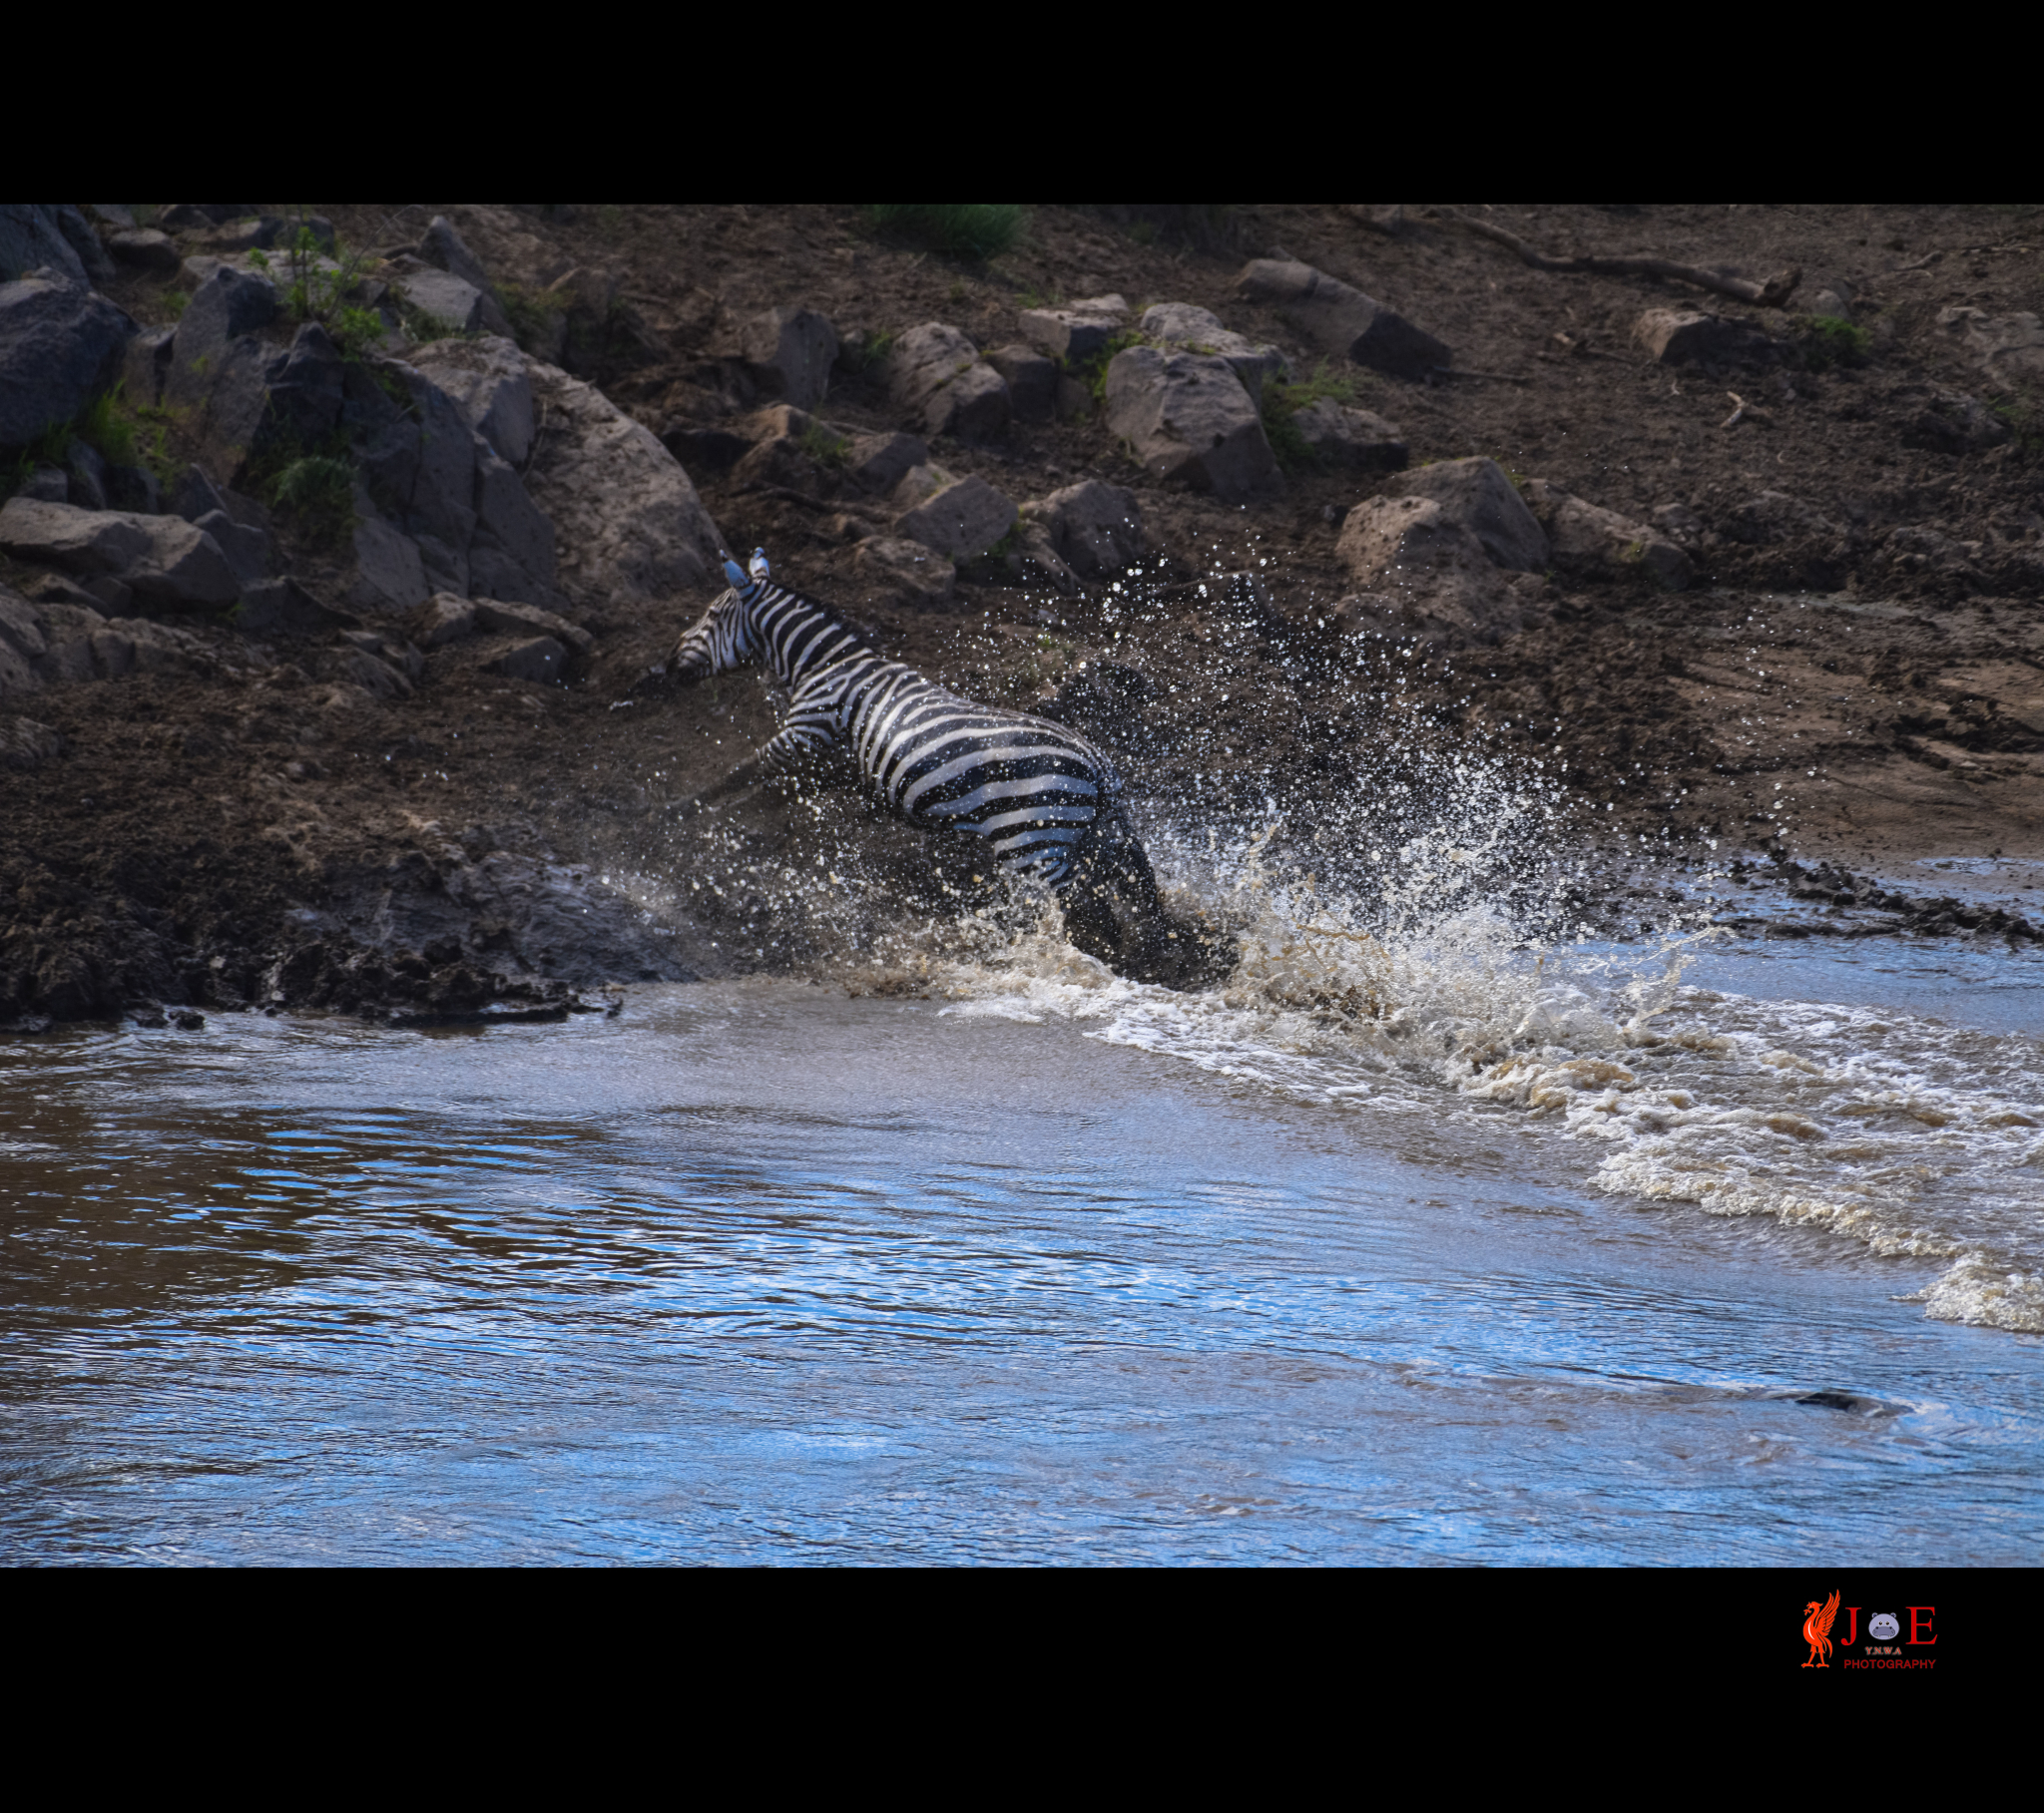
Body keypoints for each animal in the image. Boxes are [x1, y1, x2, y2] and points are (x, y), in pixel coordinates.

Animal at [670, 547, 1226, 985]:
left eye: (711, 616)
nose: (670, 663)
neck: (828, 665)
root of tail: (1094, 762)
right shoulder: (838, 763)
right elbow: (779, 790)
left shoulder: (805, 730)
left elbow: (740, 773)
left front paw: (673, 814)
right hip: (1101, 837)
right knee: (1138, 901)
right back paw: (1150, 959)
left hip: (1033, 843)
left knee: (1087, 916)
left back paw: (1085, 965)